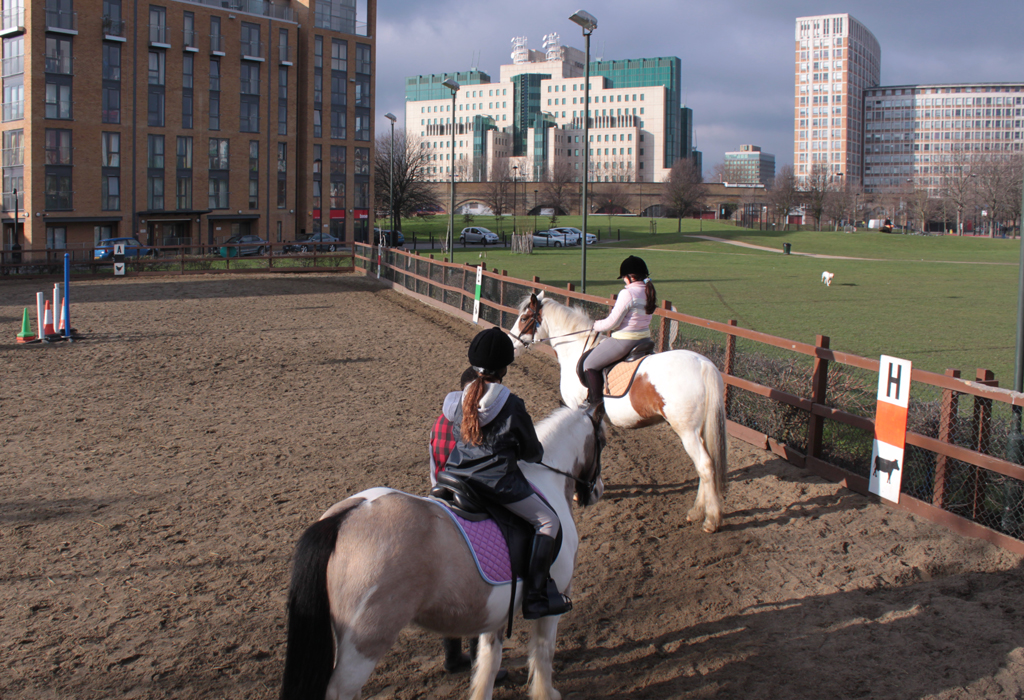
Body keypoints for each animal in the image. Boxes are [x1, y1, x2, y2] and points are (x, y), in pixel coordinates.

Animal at [278, 405, 606, 700]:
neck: (546, 482)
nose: (596, 491)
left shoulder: (495, 612)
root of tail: (343, 517)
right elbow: (543, 653)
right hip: (364, 644)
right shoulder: (557, 598)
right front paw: (546, 693)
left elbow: (488, 662)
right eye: (602, 441)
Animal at [512, 292, 729, 532]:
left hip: (687, 431)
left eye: (524, 318)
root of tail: (703, 363)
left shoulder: (579, 411)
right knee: (705, 467)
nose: (511, 343)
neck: (576, 349)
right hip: (698, 430)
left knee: (705, 466)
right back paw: (697, 511)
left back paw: (711, 520)